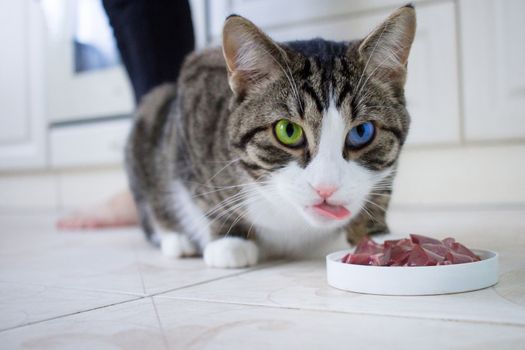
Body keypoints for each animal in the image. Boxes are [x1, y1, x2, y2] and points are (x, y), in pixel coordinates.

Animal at [125, 4, 416, 268]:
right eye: (288, 131)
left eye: (361, 132)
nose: (326, 188)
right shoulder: (195, 93)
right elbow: (206, 193)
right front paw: (230, 239)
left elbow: (381, 191)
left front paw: (374, 237)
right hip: (151, 112)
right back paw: (177, 239)